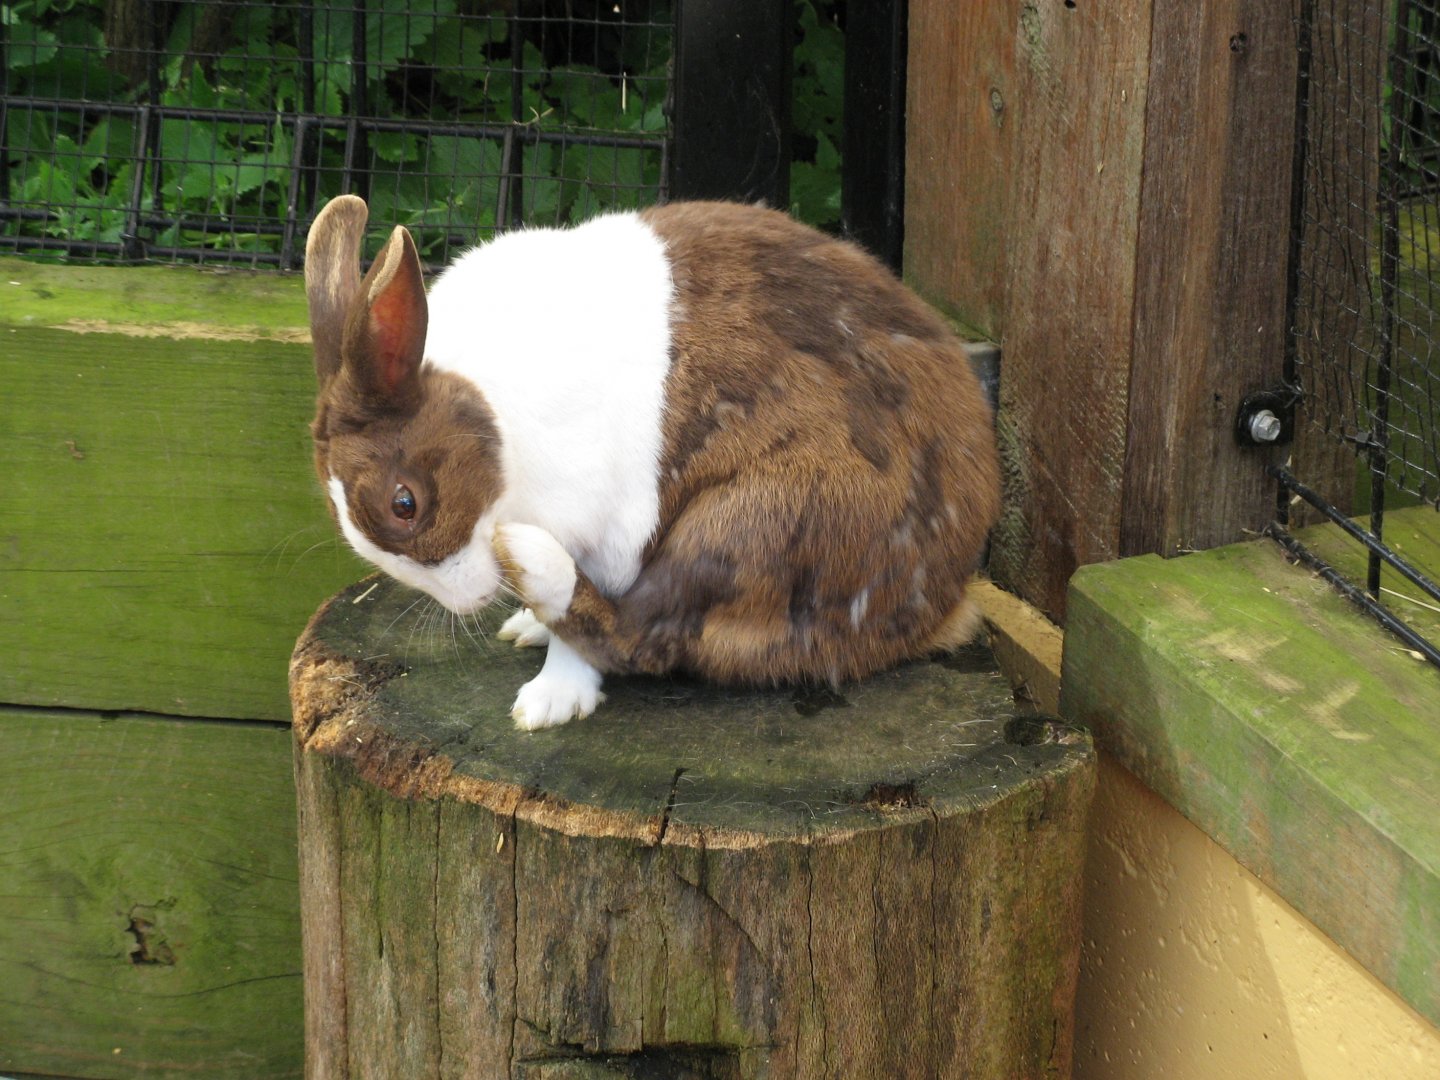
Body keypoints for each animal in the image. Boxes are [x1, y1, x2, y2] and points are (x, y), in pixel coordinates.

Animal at [303, 195, 1000, 729]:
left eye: (405, 504)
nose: (468, 602)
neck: (494, 420)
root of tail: (943, 603)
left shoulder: (611, 532)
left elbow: (590, 636)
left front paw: (551, 702)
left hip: (757, 522)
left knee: (648, 633)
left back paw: (534, 583)